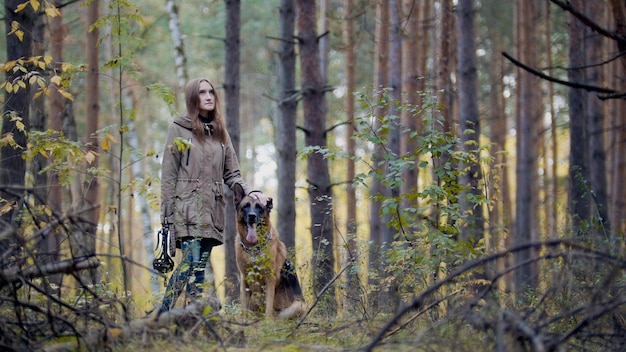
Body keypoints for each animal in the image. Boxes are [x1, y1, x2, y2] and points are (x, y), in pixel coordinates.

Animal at [233, 187, 306, 320]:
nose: (252, 216)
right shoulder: (245, 278)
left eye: (259, 208)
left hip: (299, 305)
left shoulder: (270, 278)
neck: (253, 249)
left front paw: (267, 322)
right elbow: (244, 306)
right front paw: (243, 321)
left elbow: (268, 305)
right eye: (246, 206)